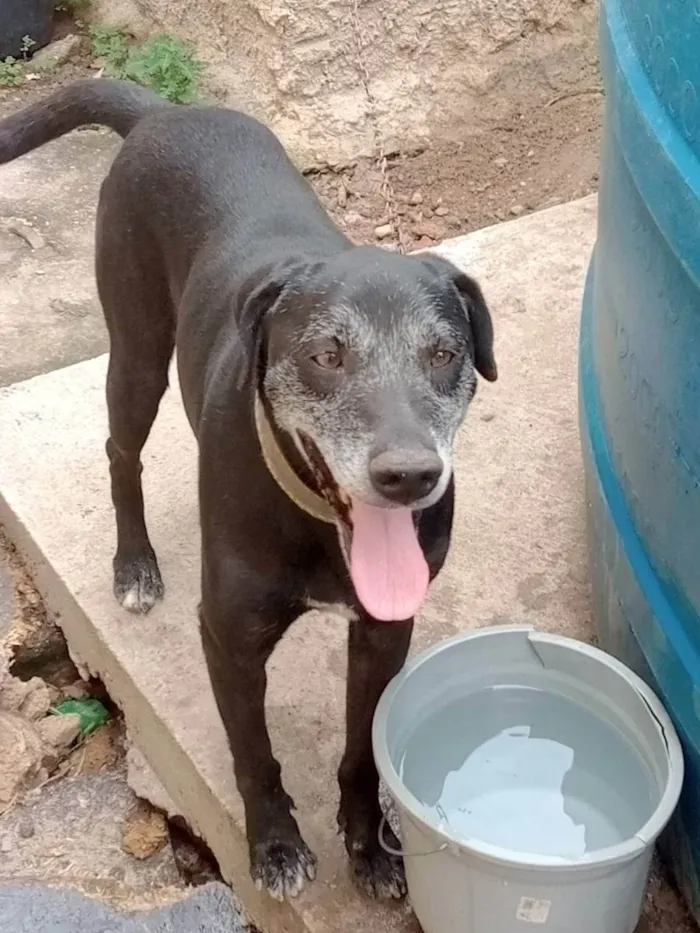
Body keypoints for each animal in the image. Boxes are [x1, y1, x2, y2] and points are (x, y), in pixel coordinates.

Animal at [0, 82, 498, 904]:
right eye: (326, 354)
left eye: (443, 353)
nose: (410, 476)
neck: (319, 524)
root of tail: (161, 114)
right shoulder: (229, 638)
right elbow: (254, 755)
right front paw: (276, 845)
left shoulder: (384, 632)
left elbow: (361, 749)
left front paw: (369, 844)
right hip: (136, 349)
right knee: (120, 453)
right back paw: (134, 564)